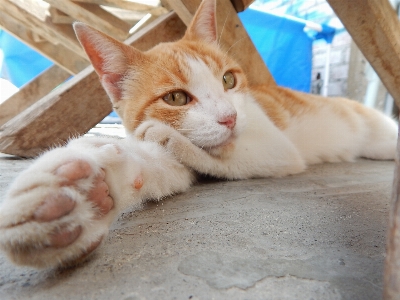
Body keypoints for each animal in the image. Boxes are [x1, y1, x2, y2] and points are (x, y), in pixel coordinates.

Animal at [0, 0, 396, 268]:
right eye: (176, 98)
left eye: (228, 80)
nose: (230, 118)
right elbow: (152, 166)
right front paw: (86, 189)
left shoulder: (278, 149)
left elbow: (222, 157)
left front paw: (170, 138)